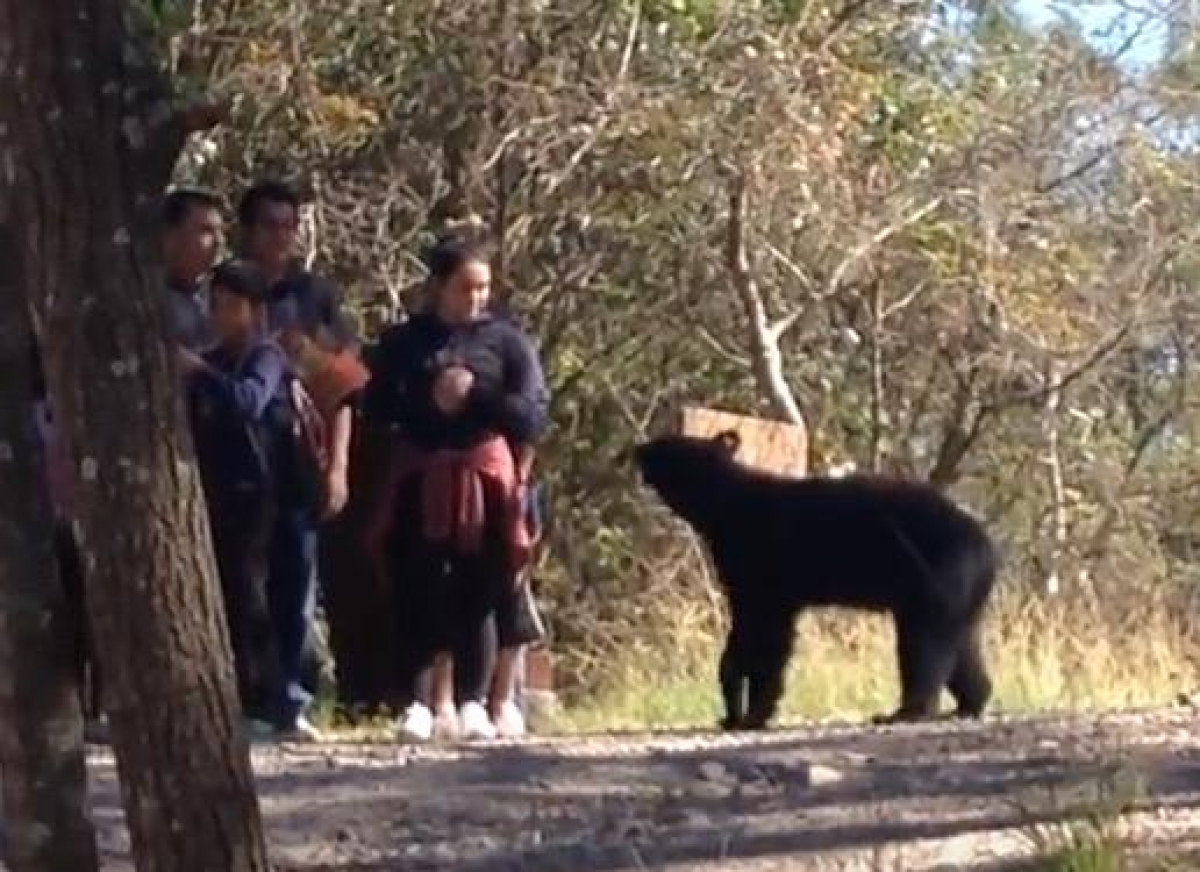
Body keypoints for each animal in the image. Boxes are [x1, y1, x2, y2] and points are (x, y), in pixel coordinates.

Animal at [631, 430, 999, 731]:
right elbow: (748, 628)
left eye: (664, 443)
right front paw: (732, 709)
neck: (725, 509)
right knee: (962, 646)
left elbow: (768, 635)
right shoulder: (745, 576)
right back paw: (968, 704)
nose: (637, 448)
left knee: (924, 644)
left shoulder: (763, 565)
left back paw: (905, 712)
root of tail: (986, 545)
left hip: (935, 576)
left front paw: (752, 713)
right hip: (961, 593)